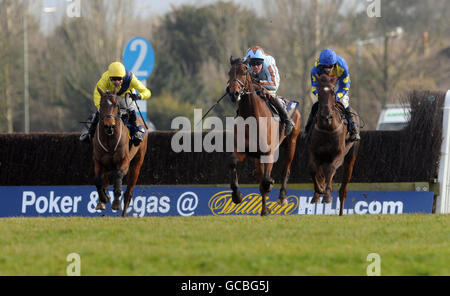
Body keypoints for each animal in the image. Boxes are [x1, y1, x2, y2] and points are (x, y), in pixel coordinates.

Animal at [92, 88, 149, 217]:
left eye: (116, 105)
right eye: (101, 104)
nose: (109, 125)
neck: (109, 139)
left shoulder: (124, 162)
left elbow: (118, 177)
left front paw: (116, 203)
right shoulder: (98, 162)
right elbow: (97, 179)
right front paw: (103, 198)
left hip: (137, 164)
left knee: (129, 192)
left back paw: (123, 214)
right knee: (105, 180)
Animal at [227, 57, 300, 215]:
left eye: (244, 72)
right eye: (229, 72)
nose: (234, 93)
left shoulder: (269, 152)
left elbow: (266, 180)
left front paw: (270, 185)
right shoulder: (243, 150)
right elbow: (233, 162)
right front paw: (236, 195)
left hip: (291, 143)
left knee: (286, 169)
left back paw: (282, 197)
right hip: (258, 157)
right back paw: (264, 208)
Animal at [308, 73, 360, 216]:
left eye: (332, 91)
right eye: (320, 92)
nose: (326, 116)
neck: (327, 128)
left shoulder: (339, 154)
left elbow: (330, 170)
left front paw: (327, 196)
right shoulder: (315, 152)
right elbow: (313, 170)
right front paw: (319, 191)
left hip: (350, 158)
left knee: (343, 189)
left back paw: (341, 212)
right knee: (321, 173)